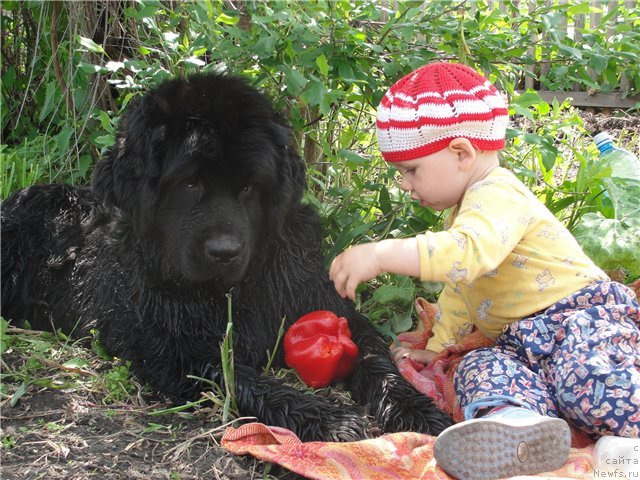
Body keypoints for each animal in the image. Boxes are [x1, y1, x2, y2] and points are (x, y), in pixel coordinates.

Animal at [1, 69, 450, 440]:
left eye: (250, 187)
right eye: (188, 184)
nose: (224, 252)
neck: (235, 290)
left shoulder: (330, 309)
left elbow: (379, 362)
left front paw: (419, 410)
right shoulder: (173, 348)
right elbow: (242, 376)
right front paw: (328, 418)